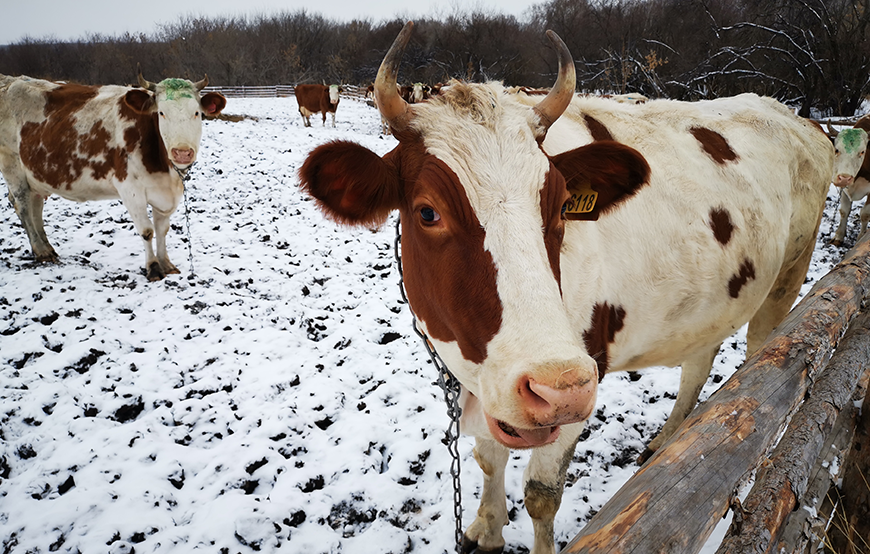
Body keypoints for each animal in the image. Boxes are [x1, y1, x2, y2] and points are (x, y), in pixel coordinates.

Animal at [0, 71, 228, 280]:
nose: (182, 152)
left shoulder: (164, 193)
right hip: (12, 166)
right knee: (23, 206)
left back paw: (47, 248)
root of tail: (10, 80)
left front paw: (166, 264)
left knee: (36, 206)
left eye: (197, 113)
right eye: (162, 113)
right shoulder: (130, 190)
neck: (165, 169)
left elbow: (162, 229)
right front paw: (153, 268)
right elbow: (147, 230)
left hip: (36, 175)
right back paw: (41, 251)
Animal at [298, 21, 832, 552]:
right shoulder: (490, 382)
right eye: (428, 212)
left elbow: (541, 494)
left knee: (762, 357)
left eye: (559, 206)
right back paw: (668, 440)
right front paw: (486, 528)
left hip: (789, 276)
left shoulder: (579, 377)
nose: (557, 390)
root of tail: (798, 118)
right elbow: (489, 458)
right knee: (699, 361)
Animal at [832, 115, 870, 245]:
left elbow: (865, 214)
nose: (845, 178)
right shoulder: (844, 189)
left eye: (862, 152)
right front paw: (839, 236)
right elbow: (844, 210)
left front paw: (861, 238)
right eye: (837, 150)